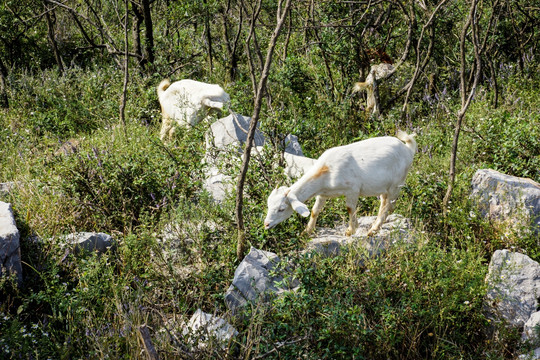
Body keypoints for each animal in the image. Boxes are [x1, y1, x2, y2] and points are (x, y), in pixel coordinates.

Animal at [264, 131, 416, 236]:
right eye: (269, 205)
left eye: (282, 208)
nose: (266, 224)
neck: (326, 170)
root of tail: (408, 148)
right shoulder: (322, 194)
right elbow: (314, 210)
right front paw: (307, 231)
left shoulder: (353, 189)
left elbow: (350, 208)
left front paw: (351, 230)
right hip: (385, 187)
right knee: (384, 203)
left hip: (397, 184)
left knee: (389, 206)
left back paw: (373, 230)